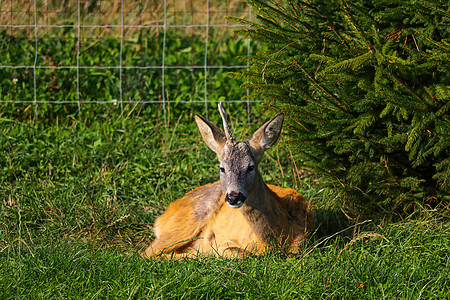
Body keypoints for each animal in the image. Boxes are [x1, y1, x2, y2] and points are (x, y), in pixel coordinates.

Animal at [143, 102, 312, 258]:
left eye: (251, 167)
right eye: (222, 168)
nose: (233, 197)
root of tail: (164, 214)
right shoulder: (224, 242)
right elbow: (235, 252)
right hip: (186, 221)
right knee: (146, 253)